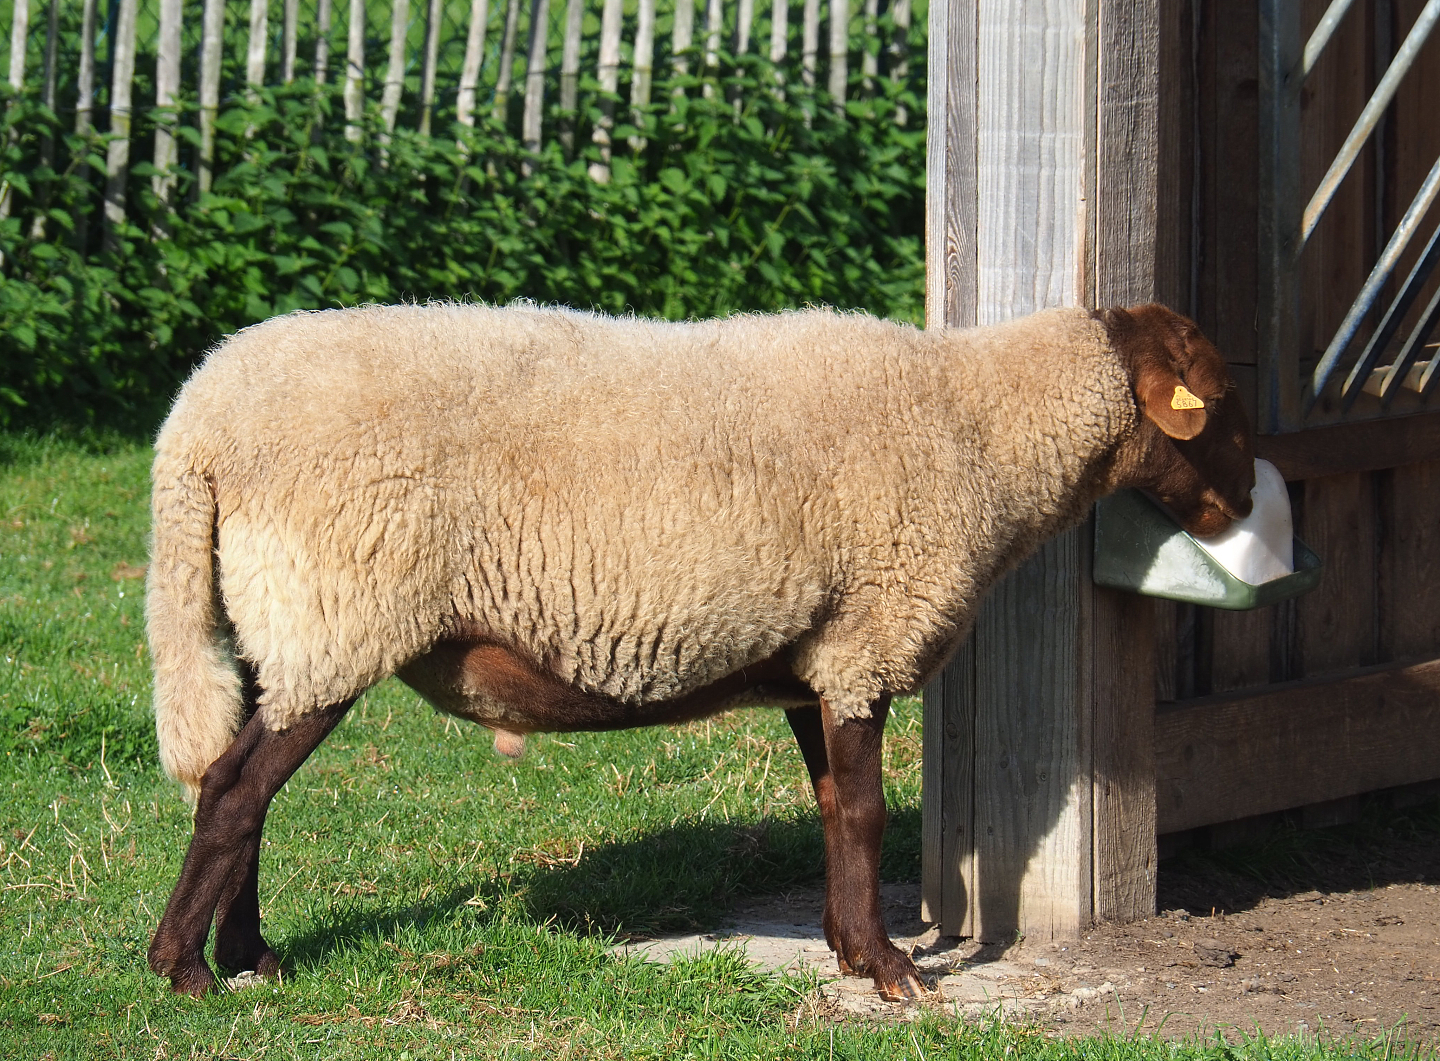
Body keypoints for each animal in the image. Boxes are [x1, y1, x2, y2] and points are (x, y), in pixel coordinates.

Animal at [145, 301, 1256, 1000]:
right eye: (1219, 400)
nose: (1247, 500)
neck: (982, 429)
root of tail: (195, 423)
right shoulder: (865, 639)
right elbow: (864, 812)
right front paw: (894, 969)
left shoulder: (818, 657)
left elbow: (831, 808)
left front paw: (849, 950)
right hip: (336, 610)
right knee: (234, 791)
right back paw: (184, 967)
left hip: (279, 628)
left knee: (239, 788)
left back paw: (248, 953)